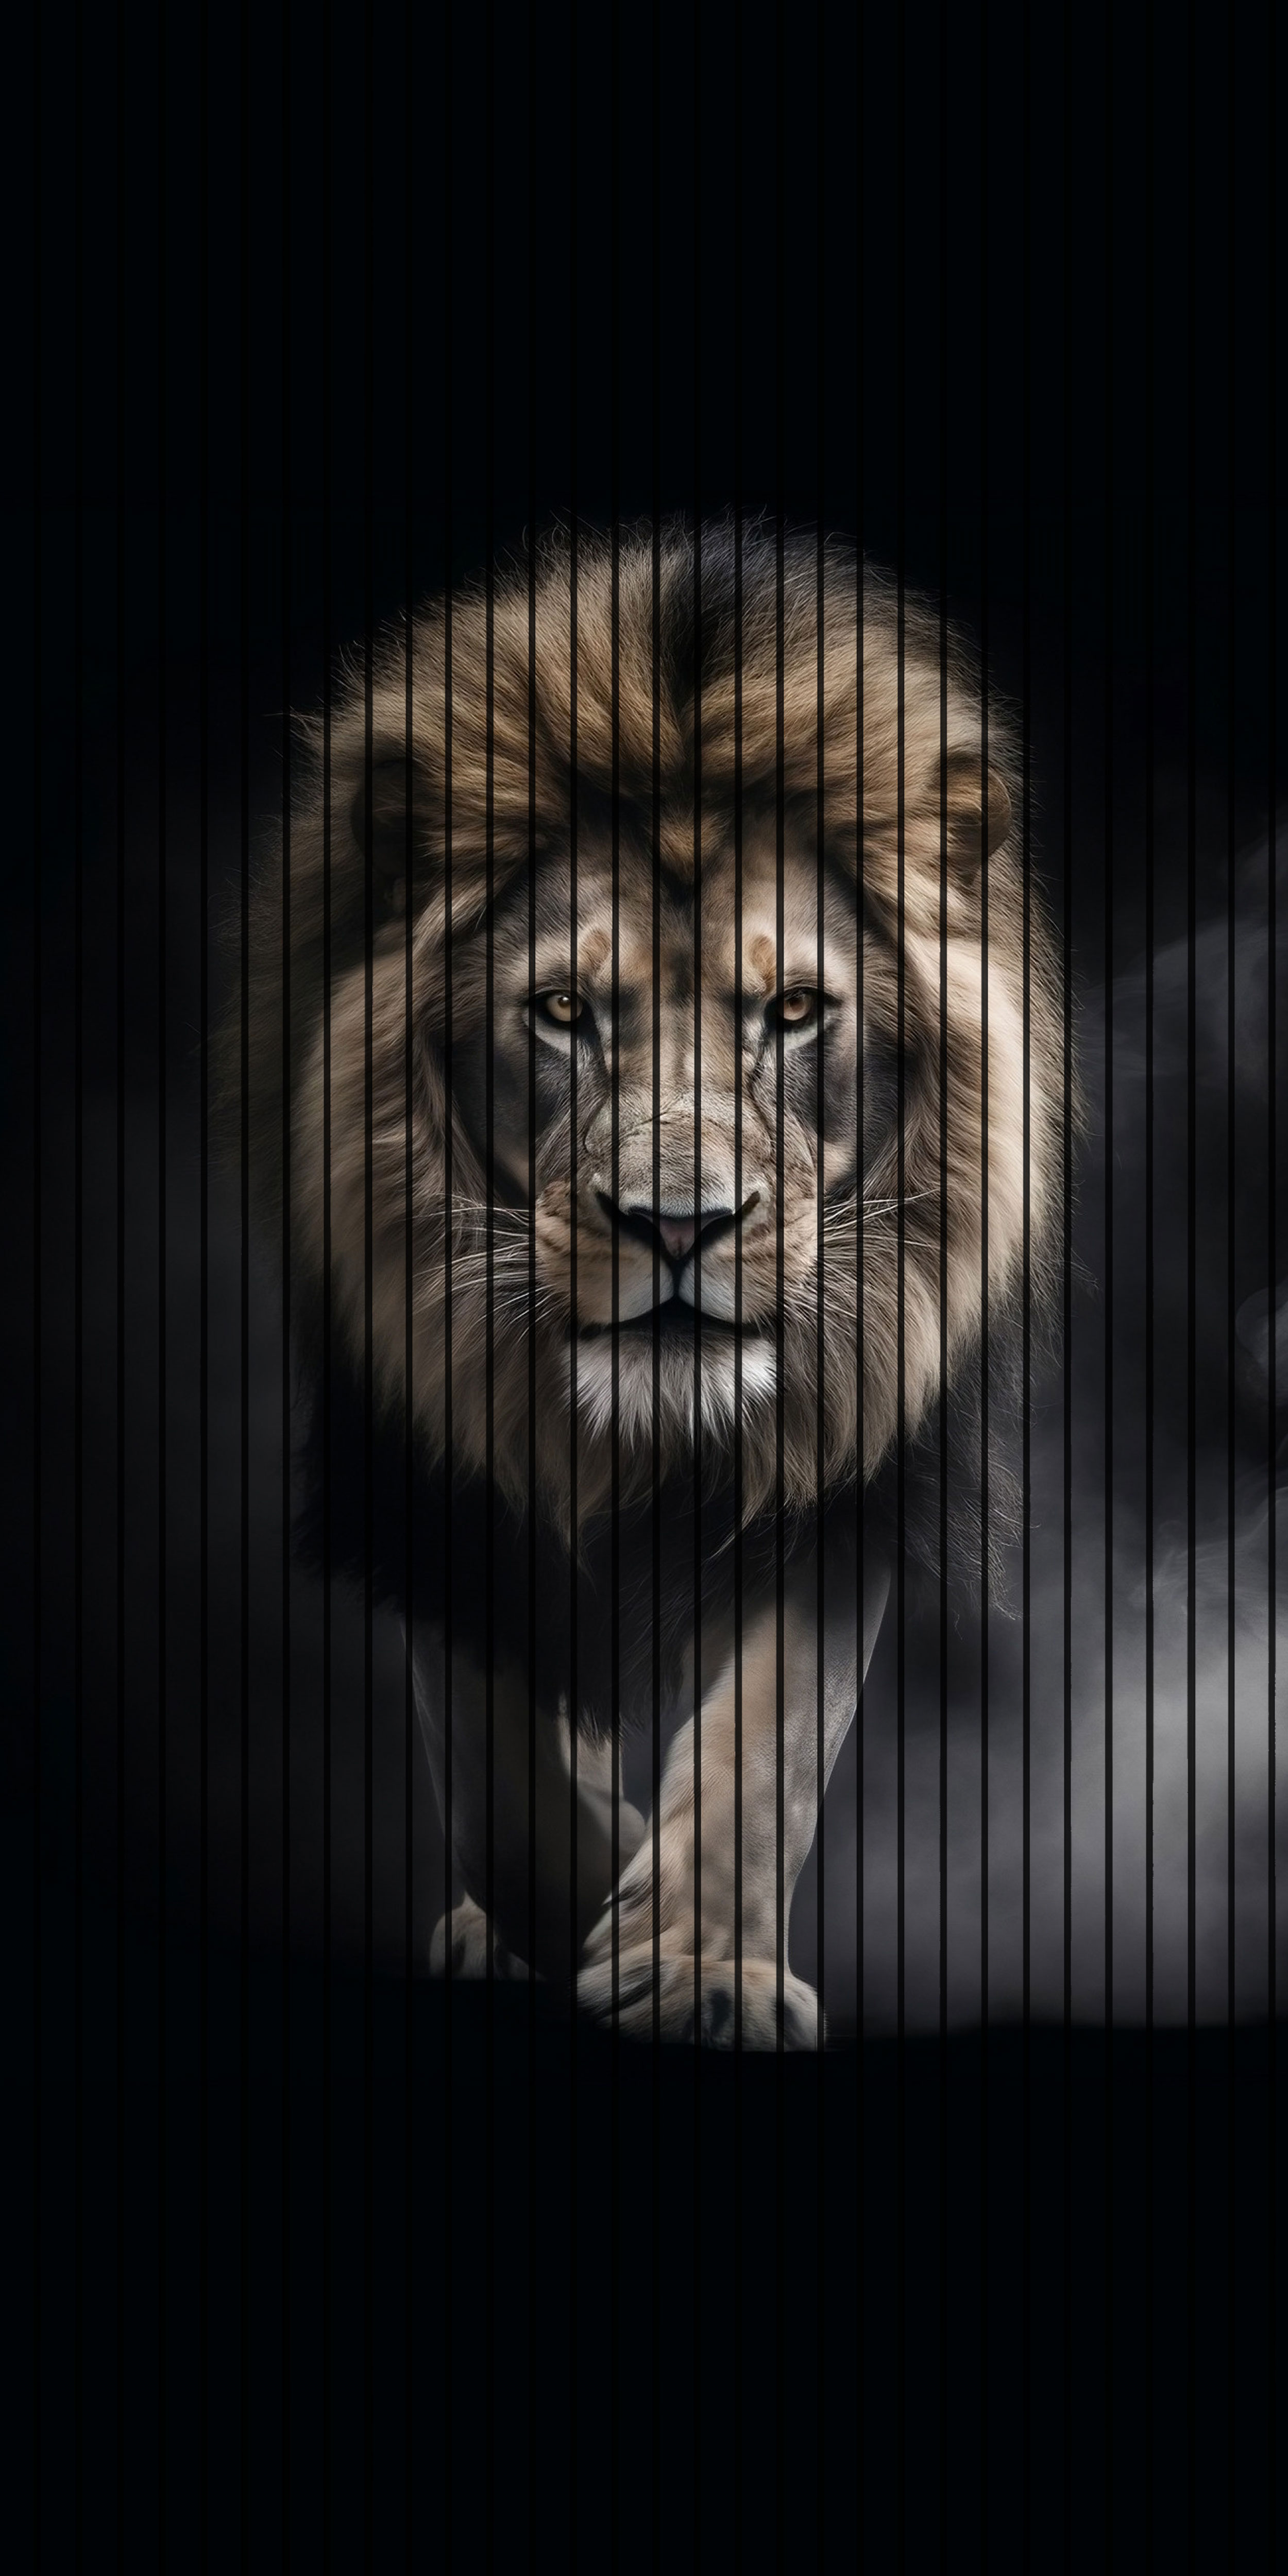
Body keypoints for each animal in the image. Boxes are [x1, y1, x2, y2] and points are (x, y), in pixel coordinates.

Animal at [239, 518, 1062, 2047]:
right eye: (563, 1011)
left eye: (792, 1012)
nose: (677, 1229)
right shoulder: (426, 1456)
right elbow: (503, 1776)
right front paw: (591, 1898)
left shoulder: (847, 1466)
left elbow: (764, 1746)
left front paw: (697, 1969)